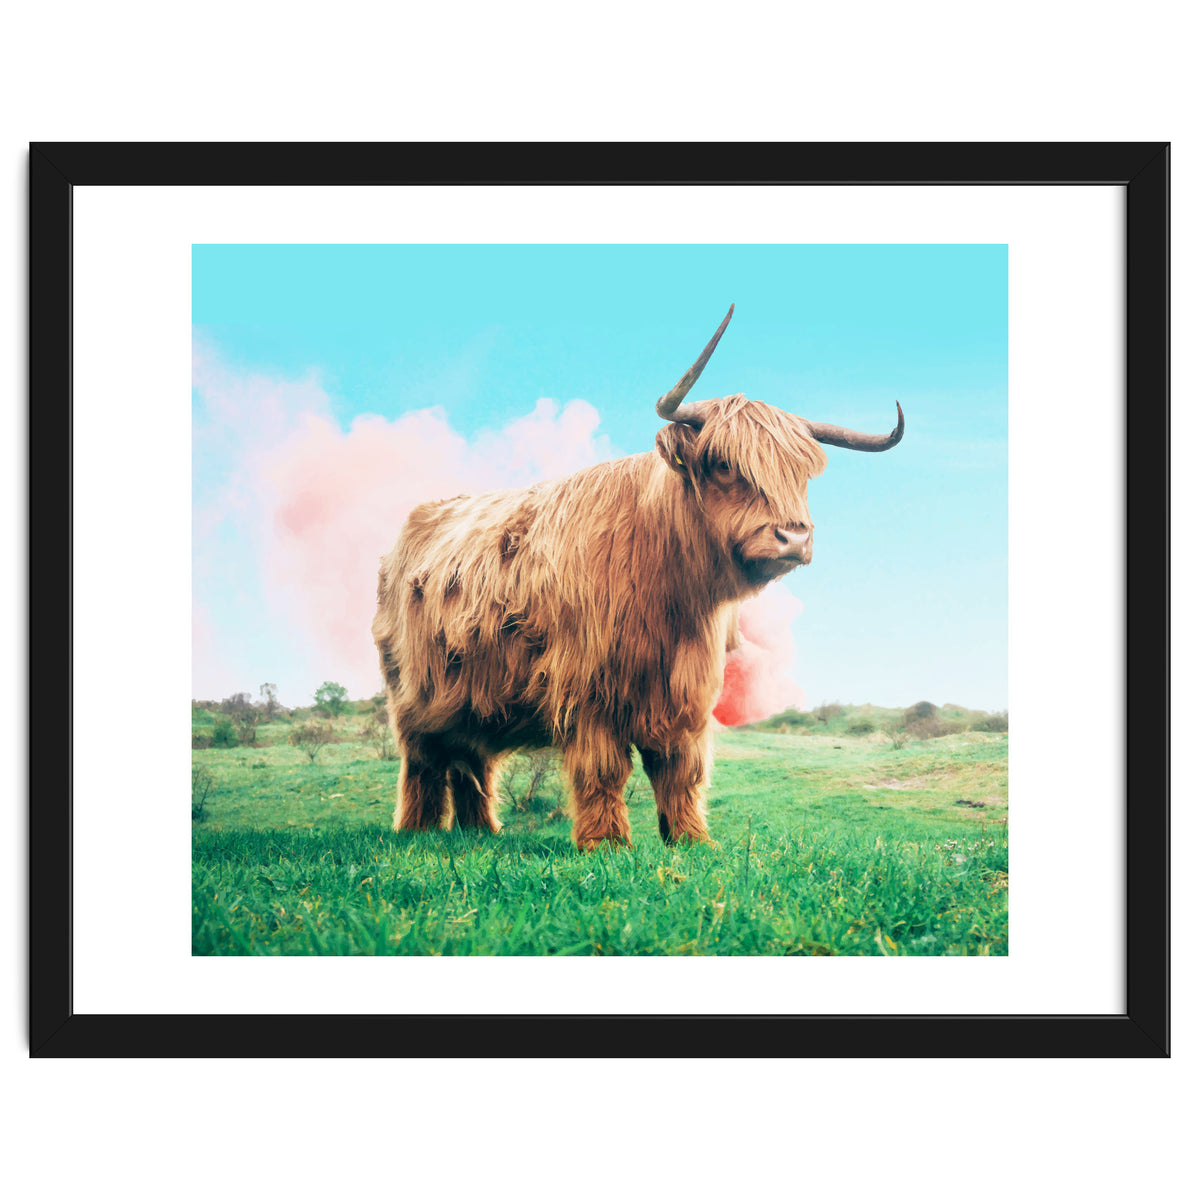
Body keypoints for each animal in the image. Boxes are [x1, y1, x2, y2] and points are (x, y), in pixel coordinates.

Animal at [372, 306, 903, 850]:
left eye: (801, 474)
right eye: (724, 464)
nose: (794, 537)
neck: (670, 593)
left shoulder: (686, 692)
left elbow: (680, 769)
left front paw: (691, 839)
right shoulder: (588, 688)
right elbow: (603, 769)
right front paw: (606, 843)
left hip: (472, 696)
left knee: (471, 760)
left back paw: (480, 831)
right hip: (414, 695)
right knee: (424, 761)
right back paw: (417, 831)